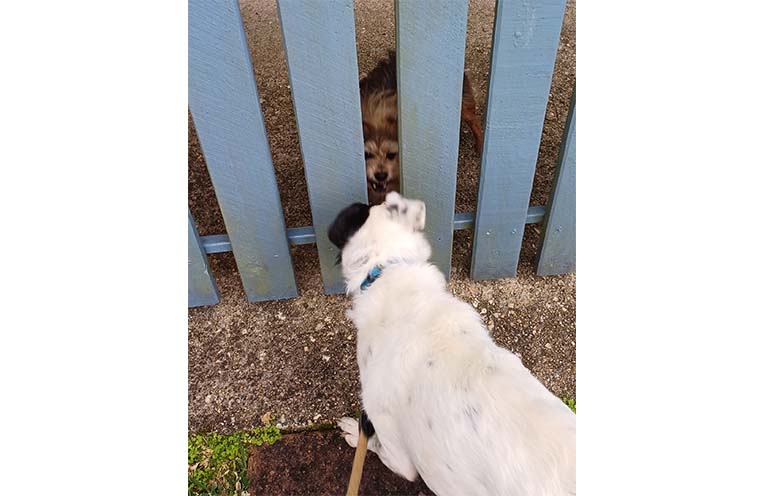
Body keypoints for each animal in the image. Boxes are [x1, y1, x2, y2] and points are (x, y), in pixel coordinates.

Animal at [360, 51, 483, 205]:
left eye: (391, 155)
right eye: (366, 155)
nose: (381, 175)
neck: (377, 116)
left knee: (475, 122)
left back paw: (480, 145)